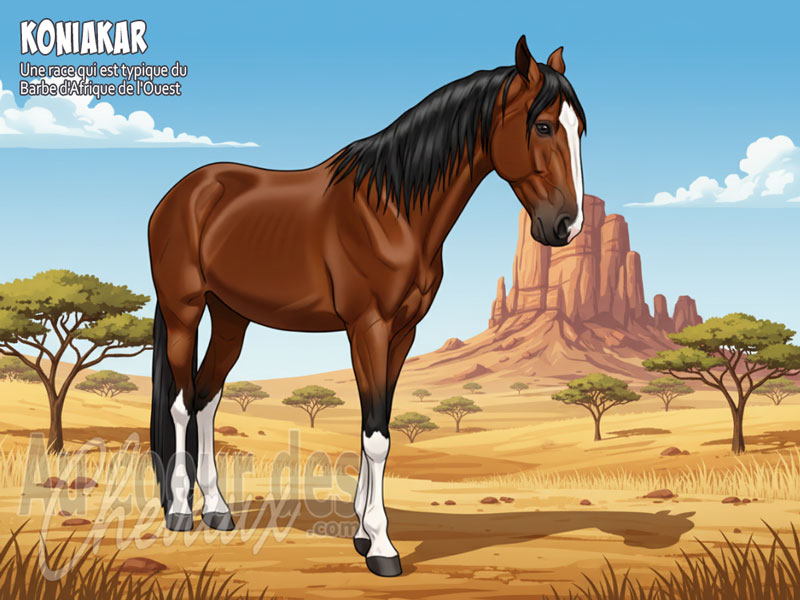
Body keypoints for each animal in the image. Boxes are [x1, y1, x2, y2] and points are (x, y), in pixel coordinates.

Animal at [148, 35, 586, 577]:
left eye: (579, 128)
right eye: (543, 125)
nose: (567, 226)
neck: (393, 211)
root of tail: (181, 194)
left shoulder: (401, 333)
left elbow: (375, 426)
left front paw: (360, 532)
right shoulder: (368, 327)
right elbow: (376, 435)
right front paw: (381, 546)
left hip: (231, 317)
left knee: (207, 398)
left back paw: (217, 509)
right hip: (184, 311)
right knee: (182, 403)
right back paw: (181, 511)